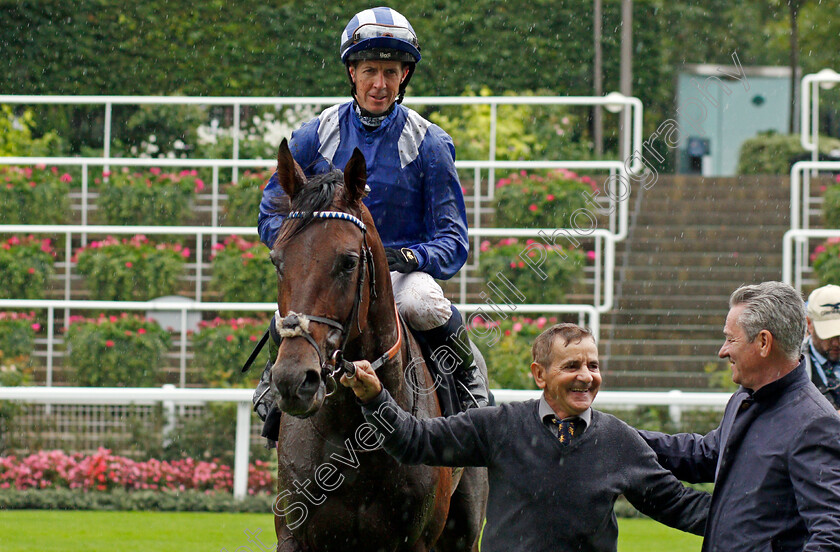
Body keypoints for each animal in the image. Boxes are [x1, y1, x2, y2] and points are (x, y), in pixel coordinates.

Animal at [270, 139, 488, 552]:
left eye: (348, 261)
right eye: (277, 260)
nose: (293, 379)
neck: (349, 434)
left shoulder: (414, 540)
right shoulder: (295, 535)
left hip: (463, 528)